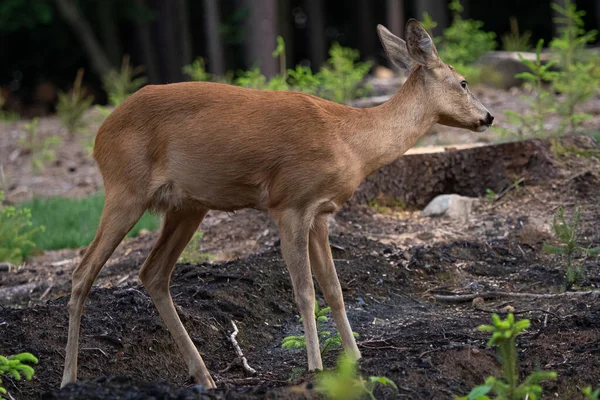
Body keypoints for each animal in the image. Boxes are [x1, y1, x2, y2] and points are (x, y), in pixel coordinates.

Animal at [61, 18, 492, 388]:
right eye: (463, 82)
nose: (488, 117)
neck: (351, 141)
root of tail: (98, 136)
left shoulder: (321, 213)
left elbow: (334, 288)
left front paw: (356, 358)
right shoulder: (290, 203)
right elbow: (304, 292)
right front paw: (316, 368)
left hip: (187, 205)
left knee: (152, 272)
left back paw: (205, 376)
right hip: (125, 188)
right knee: (83, 272)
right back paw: (69, 379)